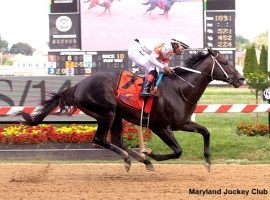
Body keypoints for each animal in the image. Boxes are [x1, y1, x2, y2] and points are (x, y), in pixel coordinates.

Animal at [19, 48, 245, 172]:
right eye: (225, 62)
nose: (241, 79)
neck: (180, 88)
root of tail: (78, 85)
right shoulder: (160, 126)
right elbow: (178, 151)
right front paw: (153, 154)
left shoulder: (182, 123)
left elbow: (206, 132)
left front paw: (208, 162)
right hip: (107, 112)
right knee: (101, 139)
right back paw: (137, 159)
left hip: (117, 115)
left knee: (117, 140)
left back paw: (142, 160)